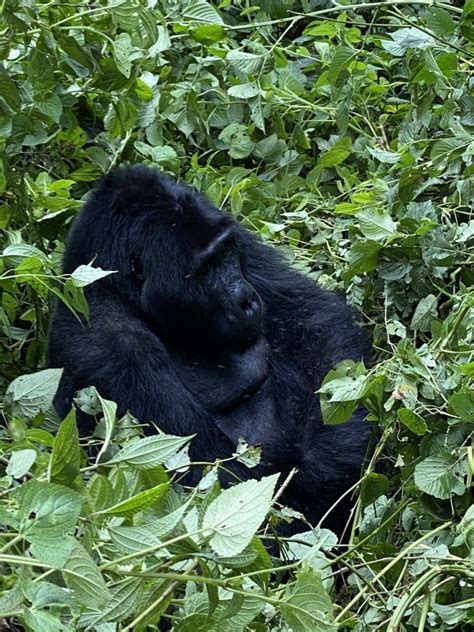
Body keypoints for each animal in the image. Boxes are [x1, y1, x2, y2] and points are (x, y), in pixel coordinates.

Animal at [49, 164, 374, 532]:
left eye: (226, 253)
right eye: (204, 269)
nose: (246, 299)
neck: (115, 290)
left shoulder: (234, 233)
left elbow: (314, 319)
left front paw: (330, 457)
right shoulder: (110, 351)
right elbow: (209, 477)